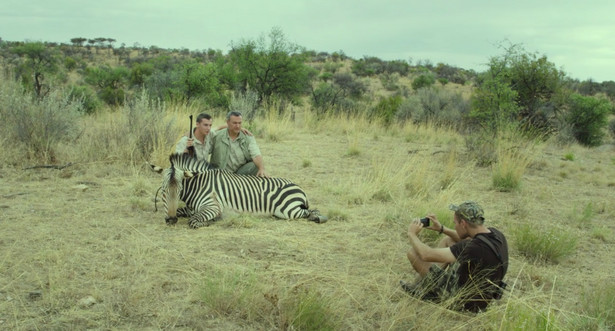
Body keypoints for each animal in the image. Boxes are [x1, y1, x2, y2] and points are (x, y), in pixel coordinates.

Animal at [149, 154, 328, 230]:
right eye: (163, 191)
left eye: (180, 190)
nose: (171, 220)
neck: (199, 185)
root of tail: (298, 187)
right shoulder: (191, 208)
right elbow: (182, 211)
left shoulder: (212, 206)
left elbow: (193, 221)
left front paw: (210, 222)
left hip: (287, 210)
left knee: (311, 211)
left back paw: (319, 218)